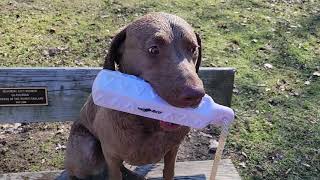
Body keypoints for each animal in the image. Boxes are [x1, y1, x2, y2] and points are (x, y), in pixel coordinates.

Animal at [65, 11, 205, 179]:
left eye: (193, 49)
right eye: (153, 49)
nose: (196, 95)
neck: (149, 121)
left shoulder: (173, 150)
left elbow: (168, 172)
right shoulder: (111, 155)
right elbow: (115, 172)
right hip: (87, 150)